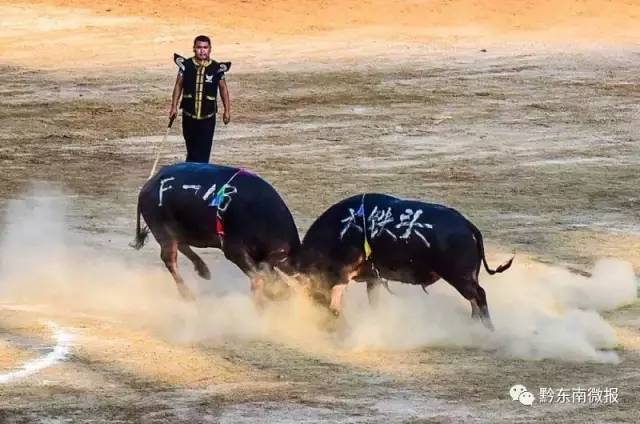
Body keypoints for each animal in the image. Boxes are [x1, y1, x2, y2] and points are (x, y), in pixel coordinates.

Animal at [132, 161, 300, 300]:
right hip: (163, 231)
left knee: (181, 245)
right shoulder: (234, 251)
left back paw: (204, 271)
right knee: (169, 258)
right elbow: (259, 279)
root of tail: (148, 184)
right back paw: (187, 294)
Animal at [292, 194, 512, 330]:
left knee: (479, 296)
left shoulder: (342, 273)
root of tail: (467, 225)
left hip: (460, 277)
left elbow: (335, 299)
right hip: (467, 278)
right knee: (474, 300)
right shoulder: (373, 279)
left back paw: (487, 329)